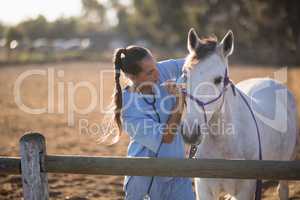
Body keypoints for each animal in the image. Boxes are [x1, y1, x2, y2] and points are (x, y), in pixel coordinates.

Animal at [179, 28, 298, 200]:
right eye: (185, 75)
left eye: (218, 79)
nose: (190, 132)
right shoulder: (204, 188)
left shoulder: (245, 190)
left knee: (282, 190)